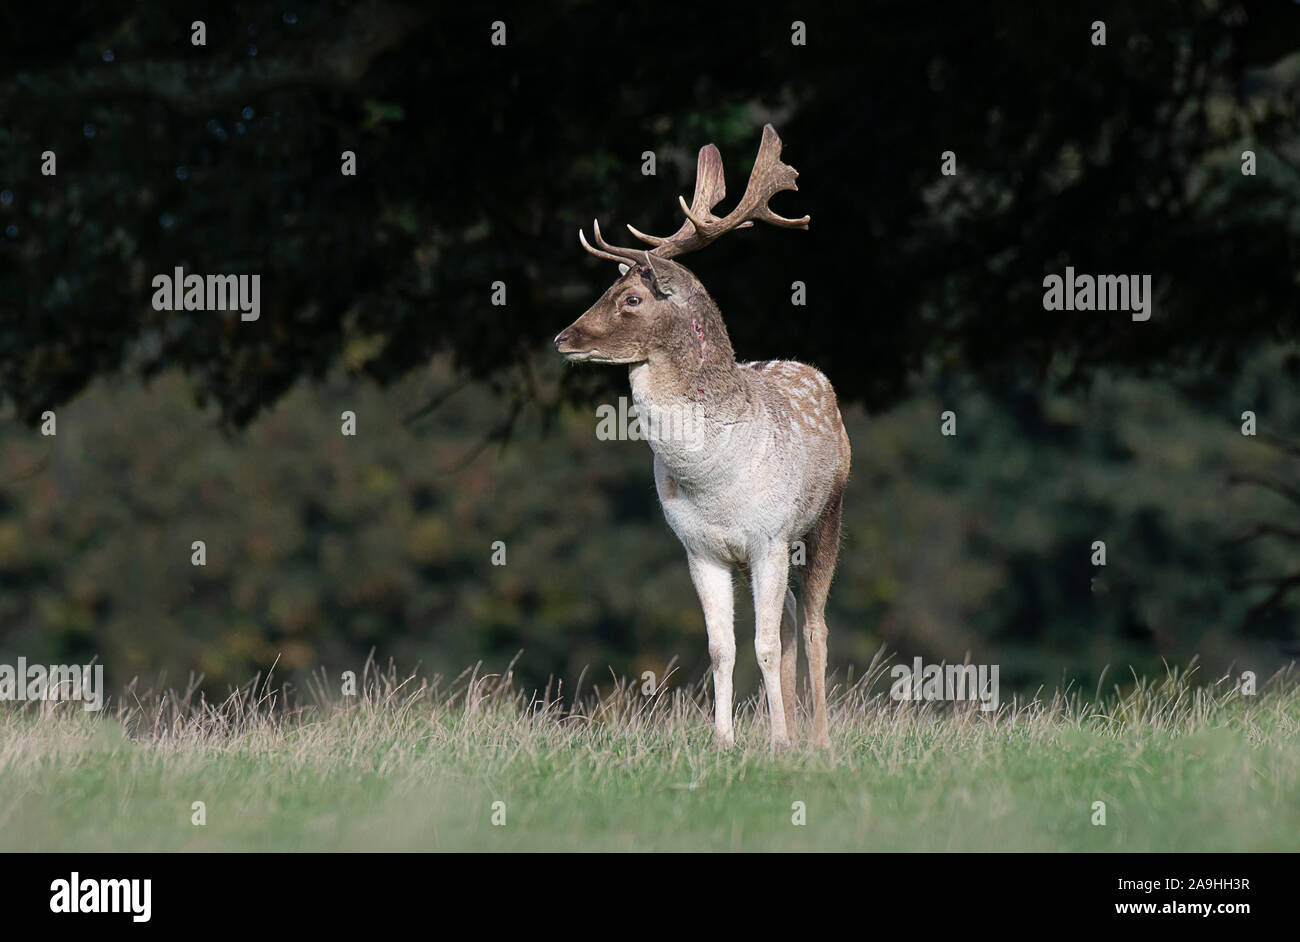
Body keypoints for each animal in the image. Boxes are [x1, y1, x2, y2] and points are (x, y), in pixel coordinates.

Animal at [551, 124, 847, 748]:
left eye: (631, 298)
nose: (563, 338)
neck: (716, 481)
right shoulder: (699, 547)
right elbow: (721, 647)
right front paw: (725, 740)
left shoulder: (768, 536)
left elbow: (762, 644)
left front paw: (777, 741)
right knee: (790, 621)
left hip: (825, 518)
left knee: (813, 625)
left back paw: (817, 739)